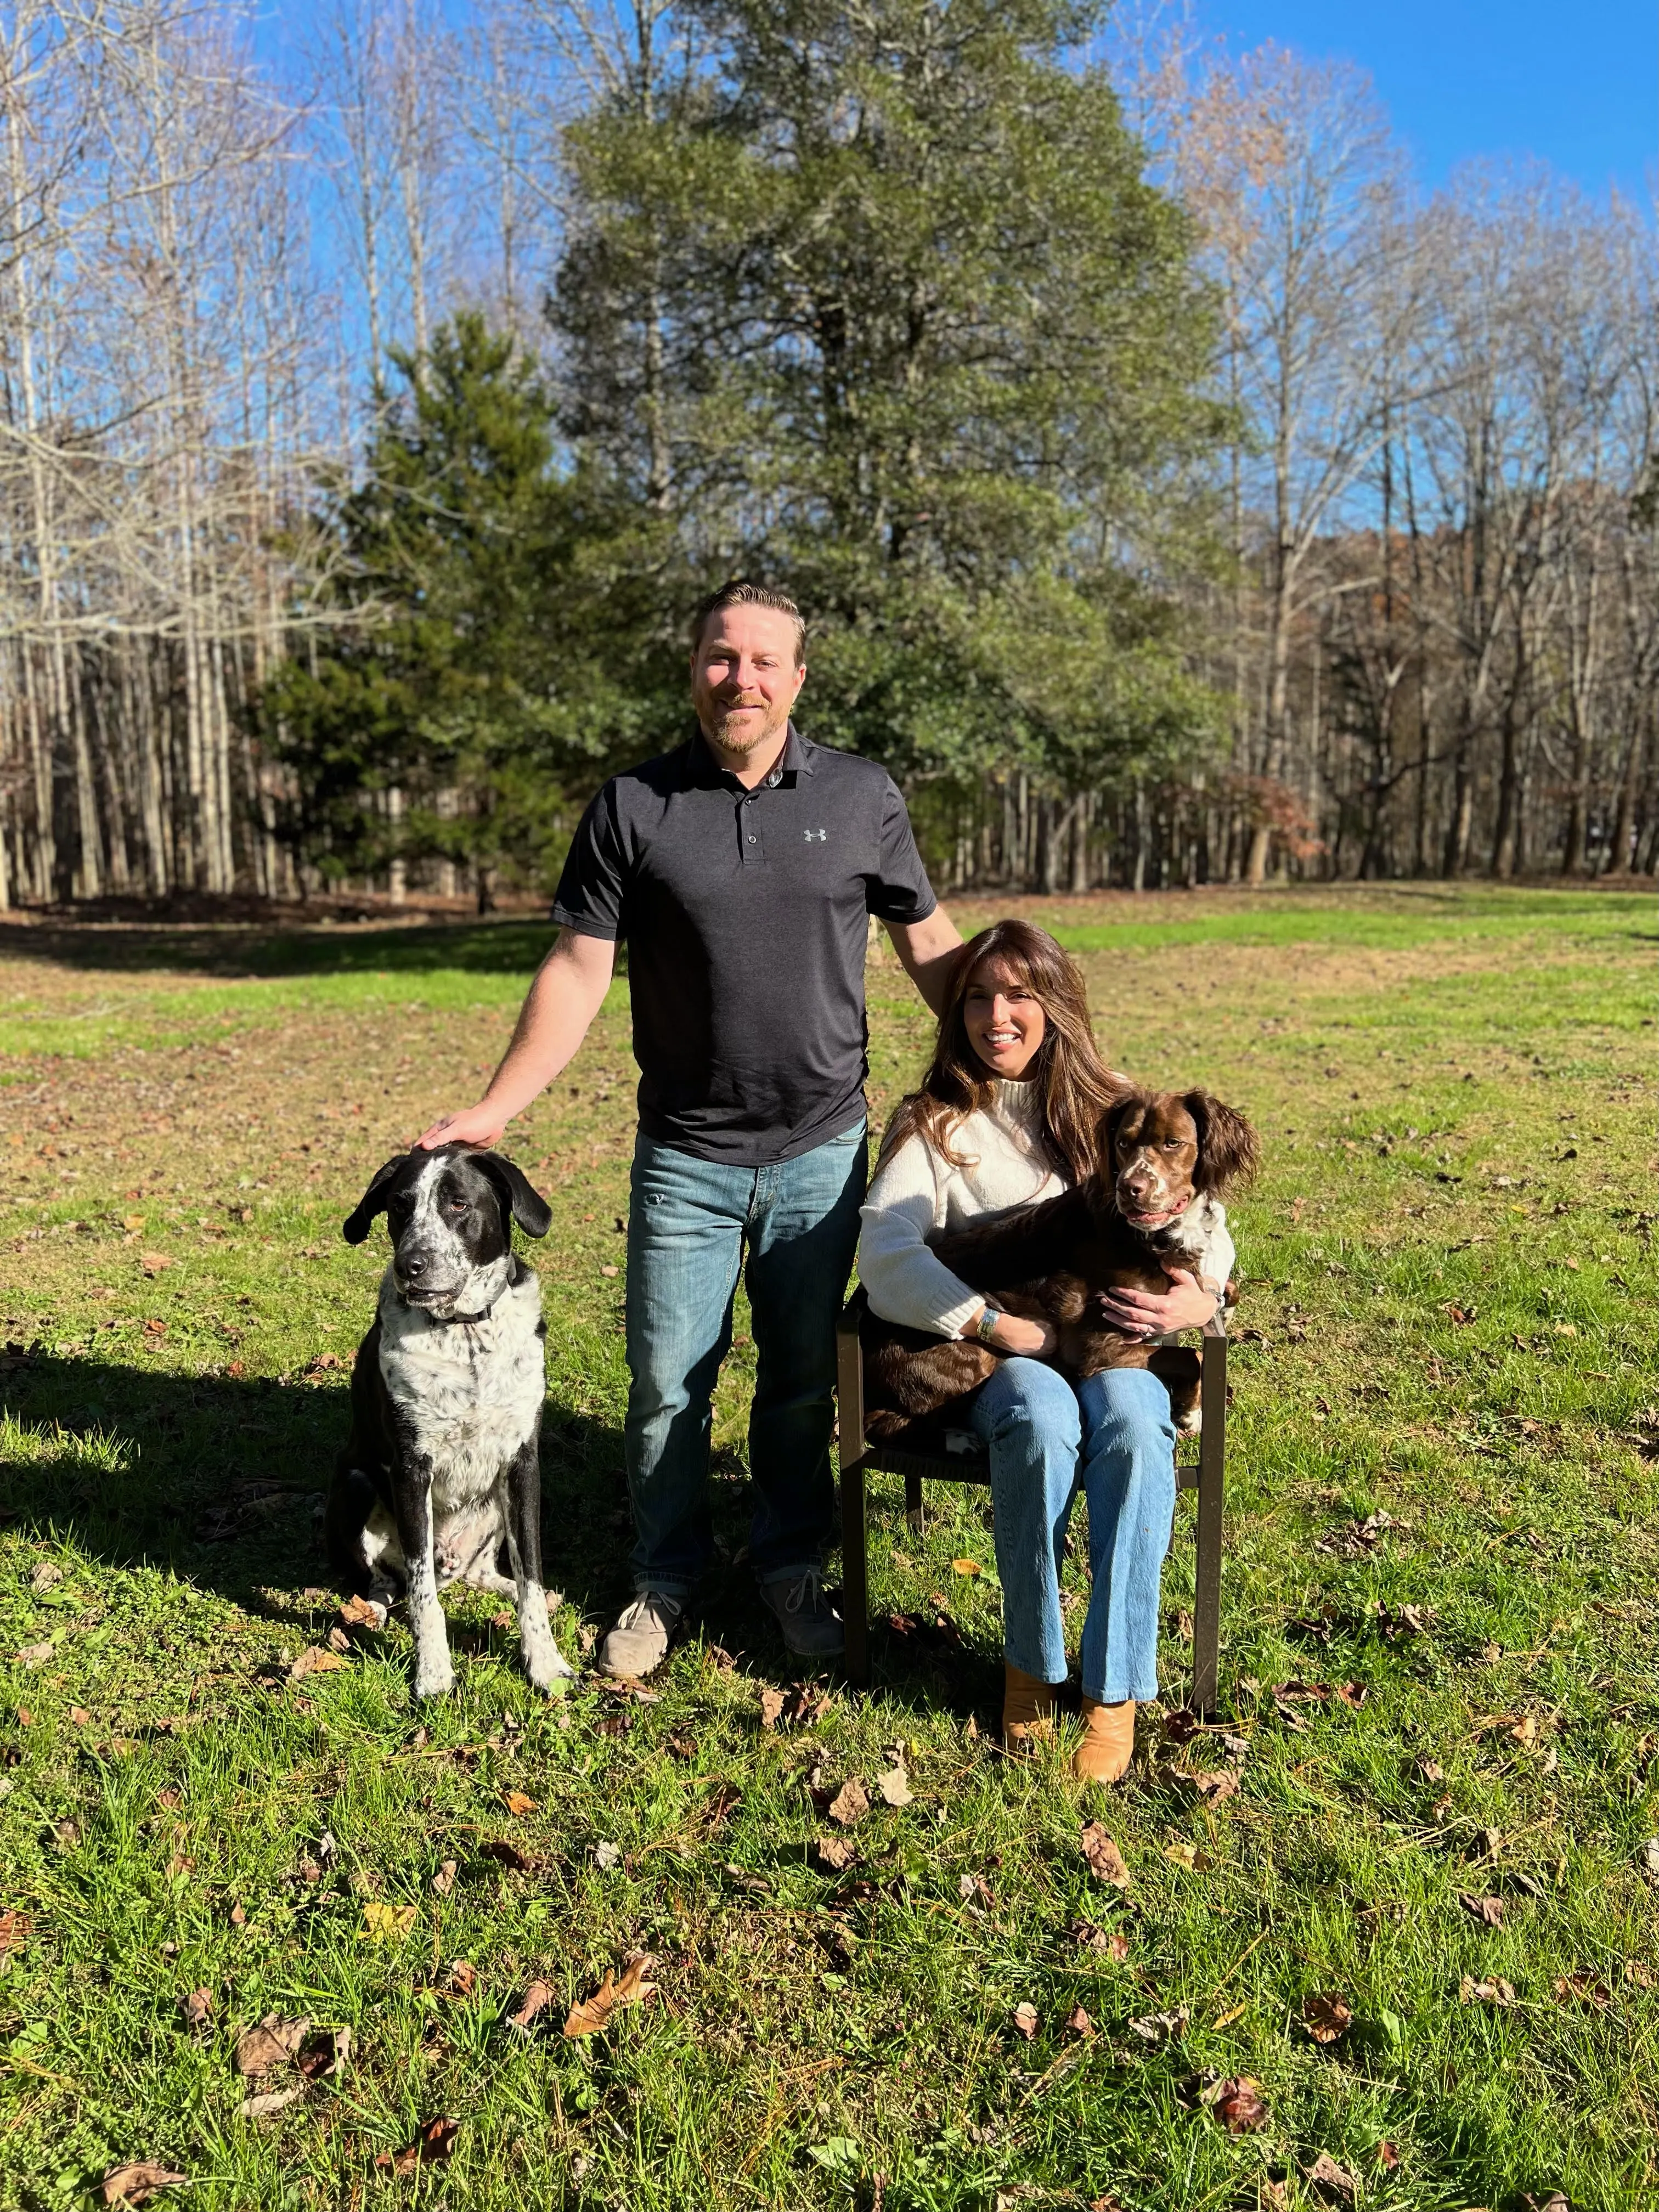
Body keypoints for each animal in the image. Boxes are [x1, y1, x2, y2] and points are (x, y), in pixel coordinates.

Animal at [325, 1150, 579, 1699]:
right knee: (387, 1582)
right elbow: (423, 1594)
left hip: (492, 1508)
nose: (410, 1265)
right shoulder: (410, 1468)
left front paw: (546, 1664)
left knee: (485, 1574)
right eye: (399, 1206)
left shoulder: (523, 1465)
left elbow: (531, 1574)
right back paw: (368, 1613)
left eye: (458, 1203)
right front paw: (434, 1672)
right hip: (357, 1484)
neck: (465, 1334)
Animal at [862, 1084, 1265, 1433]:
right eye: (1122, 1142)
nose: (1129, 1189)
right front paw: (1192, 1412)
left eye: (1173, 1143)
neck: (1151, 1236)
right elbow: (1193, 1357)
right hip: (973, 1358)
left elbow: (1224, 1288)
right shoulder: (1095, 1347)